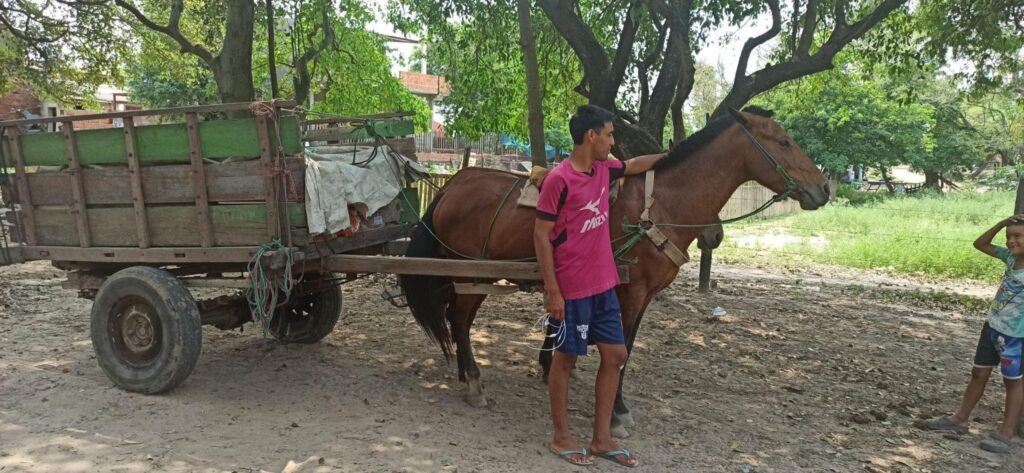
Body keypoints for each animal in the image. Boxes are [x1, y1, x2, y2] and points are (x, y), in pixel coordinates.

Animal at [401, 106, 831, 436]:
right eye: (783, 142)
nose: (825, 188)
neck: (660, 205)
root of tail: (454, 185)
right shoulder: (632, 290)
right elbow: (620, 347)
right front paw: (614, 412)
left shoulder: (643, 295)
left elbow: (625, 344)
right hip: (471, 274)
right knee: (459, 319)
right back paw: (473, 380)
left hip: (473, 274)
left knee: (456, 317)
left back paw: (465, 373)